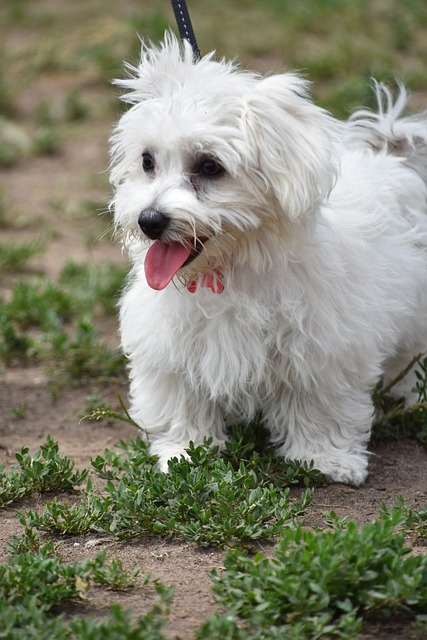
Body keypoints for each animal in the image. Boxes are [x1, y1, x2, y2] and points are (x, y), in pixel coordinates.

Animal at [109, 32, 427, 482]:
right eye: (147, 161)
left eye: (210, 166)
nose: (149, 220)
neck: (234, 268)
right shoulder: (170, 344)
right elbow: (181, 401)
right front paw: (184, 452)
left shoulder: (324, 344)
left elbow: (321, 403)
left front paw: (324, 459)